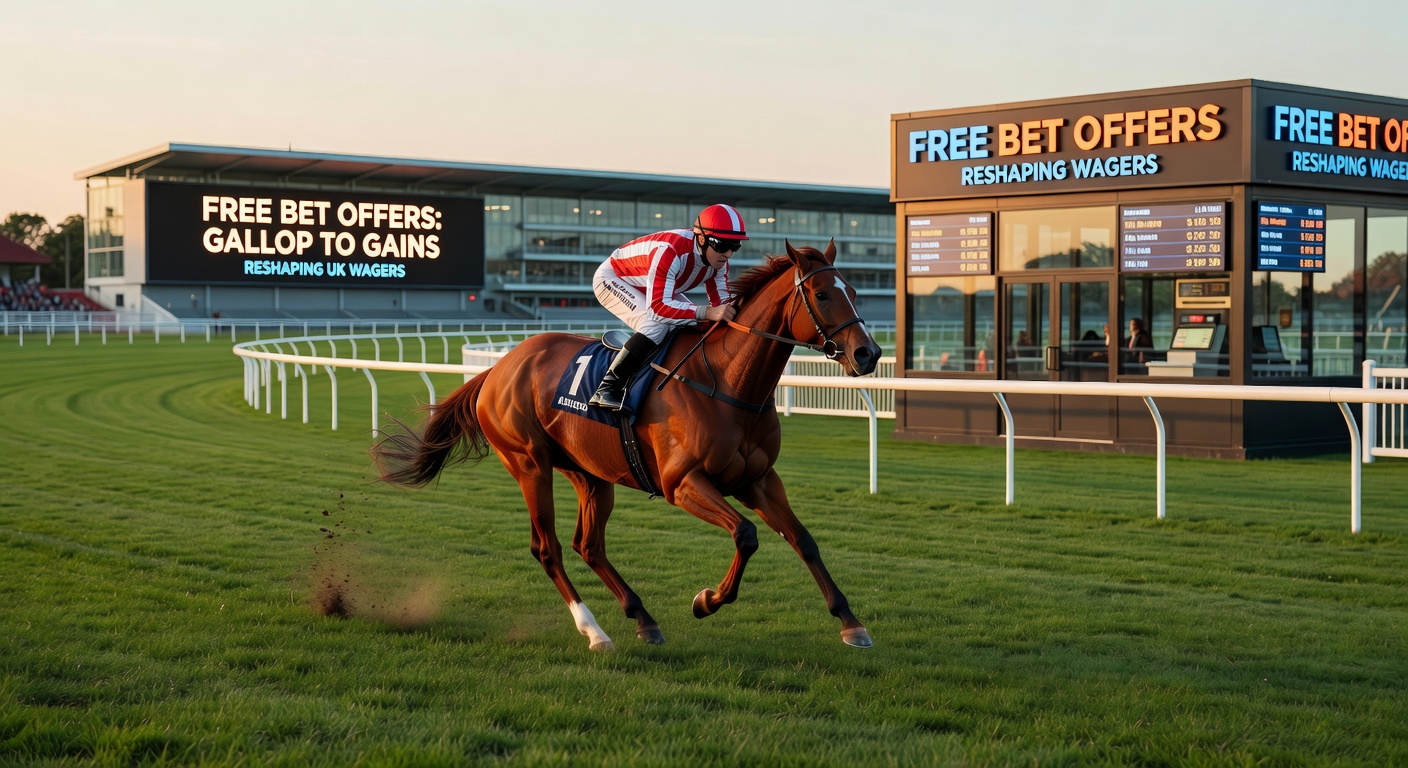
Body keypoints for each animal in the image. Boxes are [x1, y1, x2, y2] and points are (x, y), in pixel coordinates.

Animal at [372, 241, 882, 651]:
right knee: (548, 548)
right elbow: (745, 534)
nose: (868, 354)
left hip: (589, 472)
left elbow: (804, 539)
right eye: (822, 294)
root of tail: (498, 369)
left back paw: (643, 618)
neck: (725, 382)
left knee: (588, 545)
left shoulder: (757, 479)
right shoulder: (683, 483)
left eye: (855, 293)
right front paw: (707, 600)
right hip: (529, 464)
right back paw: (595, 632)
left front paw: (851, 623)